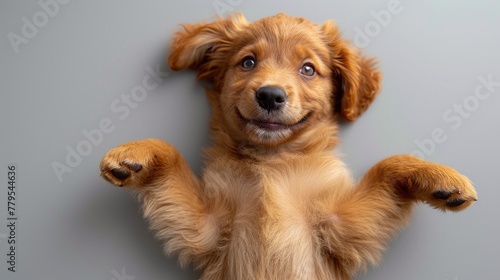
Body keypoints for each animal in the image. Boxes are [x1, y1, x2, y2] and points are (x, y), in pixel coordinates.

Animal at [99, 13, 478, 280]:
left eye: (308, 69)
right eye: (248, 62)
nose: (270, 95)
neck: (272, 163)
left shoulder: (341, 226)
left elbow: (387, 165)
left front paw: (439, 178)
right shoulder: (205, 226)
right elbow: (172, 153)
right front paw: (135, 152)